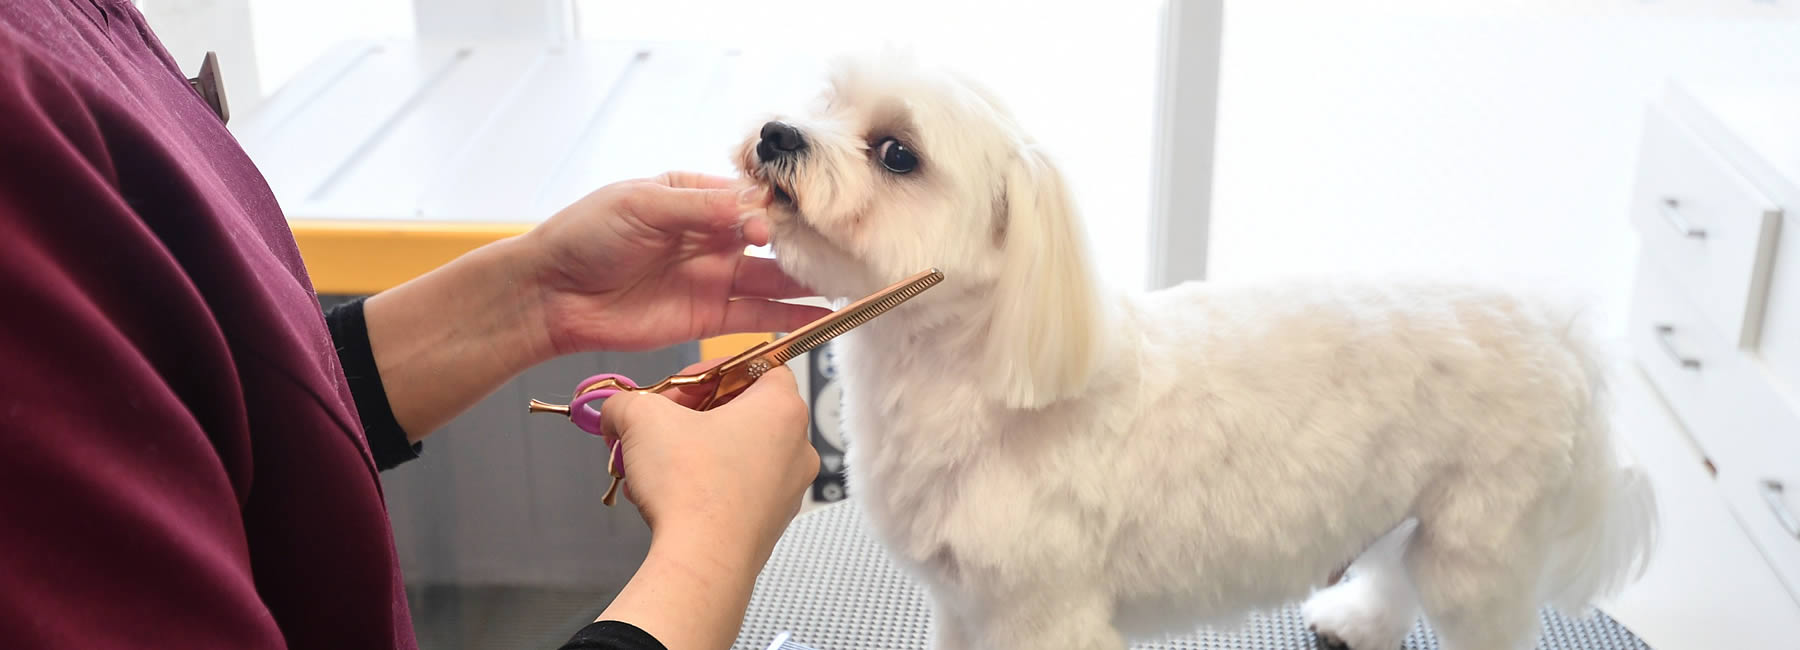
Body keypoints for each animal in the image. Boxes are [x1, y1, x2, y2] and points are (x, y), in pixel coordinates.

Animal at [730, 51, 1656, 648]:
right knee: (1395, 565)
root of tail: (1557, 329)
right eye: (823, 104)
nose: (776, 133)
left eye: (897, 153)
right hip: (1413, 498)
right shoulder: (963, 604)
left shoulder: (1042, 610)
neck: (973, 371)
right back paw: (1358, 621)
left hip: (1480, 537)